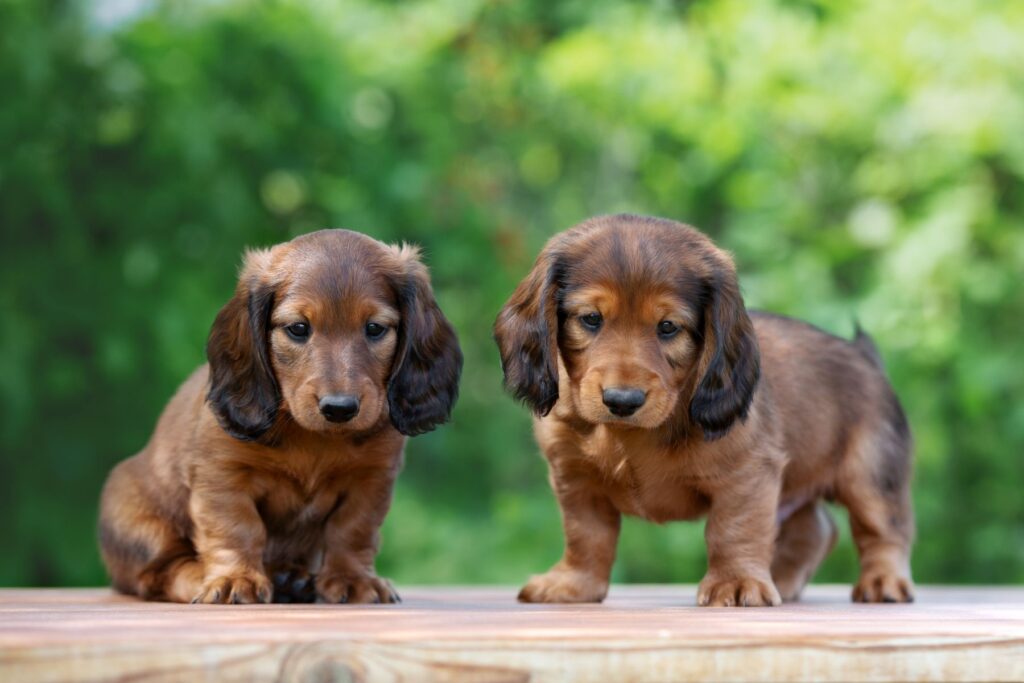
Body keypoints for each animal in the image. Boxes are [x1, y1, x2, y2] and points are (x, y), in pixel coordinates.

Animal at [98, 228, 460, 602]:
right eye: (298, 328)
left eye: (375, 328)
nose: (339, 408)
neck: (314, 439)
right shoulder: (222, 474)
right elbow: (237, 527)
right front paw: (235, 578)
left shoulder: (372, 478)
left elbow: (352, 531)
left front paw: (353, 578)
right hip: (139, 521)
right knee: (158, 573)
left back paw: (291, 577)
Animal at [491, 216, 917, 606]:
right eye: (591, 319)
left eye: (667, 327)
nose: (622, 401)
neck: (629, 435)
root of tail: (863, 354)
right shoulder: (576, 480)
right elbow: (585, 535)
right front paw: (574, 583)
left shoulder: (746, 473)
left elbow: (733, 530)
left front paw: (737, 582)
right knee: (816, 530)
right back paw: (781, 579)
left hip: (870, 474)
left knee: (883, 531)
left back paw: (882, 581)